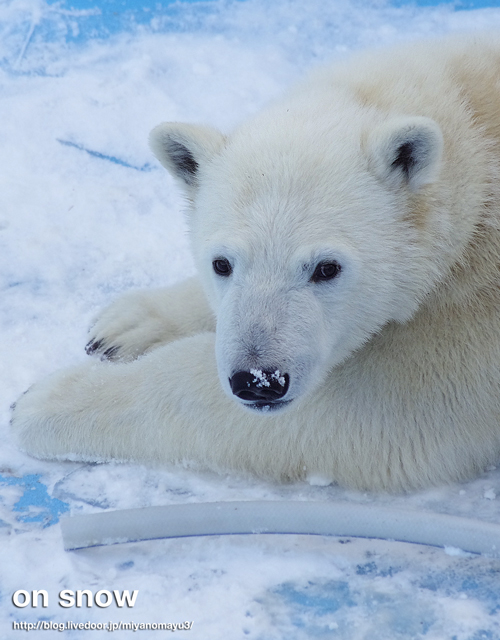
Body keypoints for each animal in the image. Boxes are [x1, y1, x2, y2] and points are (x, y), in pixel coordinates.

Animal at [8, 35, 500, 492]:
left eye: (327, 268)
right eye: (222, 264)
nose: (258, 380)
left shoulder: (466, 335)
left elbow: (374, 417)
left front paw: (41, 401)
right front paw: (123, 327)